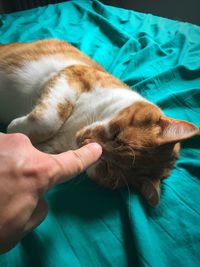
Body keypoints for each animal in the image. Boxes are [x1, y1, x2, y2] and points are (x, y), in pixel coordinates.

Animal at [0, 39, 198, 207]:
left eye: (106, 167)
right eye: (116, 133)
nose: (85, 142)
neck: (76, 126)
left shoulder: (53, 149)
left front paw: (11, 133)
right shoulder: (74, 74)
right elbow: (48, 120)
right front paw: (14, 127)